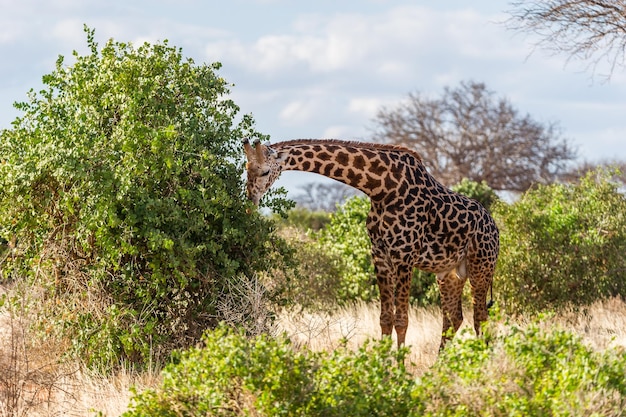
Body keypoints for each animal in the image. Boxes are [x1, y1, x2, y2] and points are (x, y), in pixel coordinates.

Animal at [243, 138, 498, 346]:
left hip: (480, 269)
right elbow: (385, 319)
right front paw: (382, 366)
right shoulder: (380, 254)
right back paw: (440, 369)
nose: (251, 201)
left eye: (265, 171)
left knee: (480, 318)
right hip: (449, 274)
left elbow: (402, 320)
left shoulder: (404, 256)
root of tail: (495, 228)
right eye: (246, 170)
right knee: (454, 318)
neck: (380, 188)